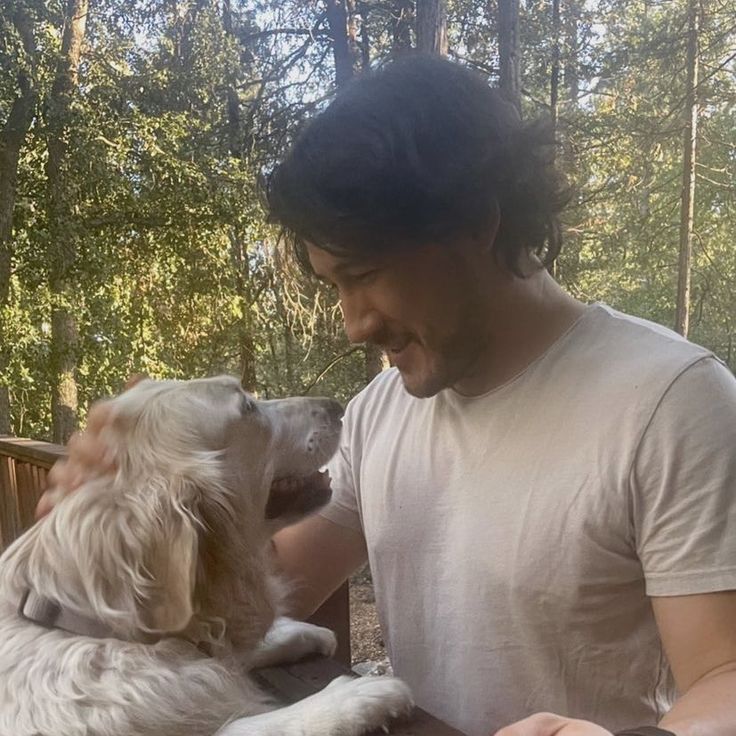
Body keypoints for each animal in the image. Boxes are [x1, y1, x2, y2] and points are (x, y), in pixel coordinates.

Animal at [0, 376, 414, 736]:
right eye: (247, 406)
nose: (336, 406)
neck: (90, 619)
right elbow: (246, 724)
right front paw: (353, 698)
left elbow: (227, 652)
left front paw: (300, 633)